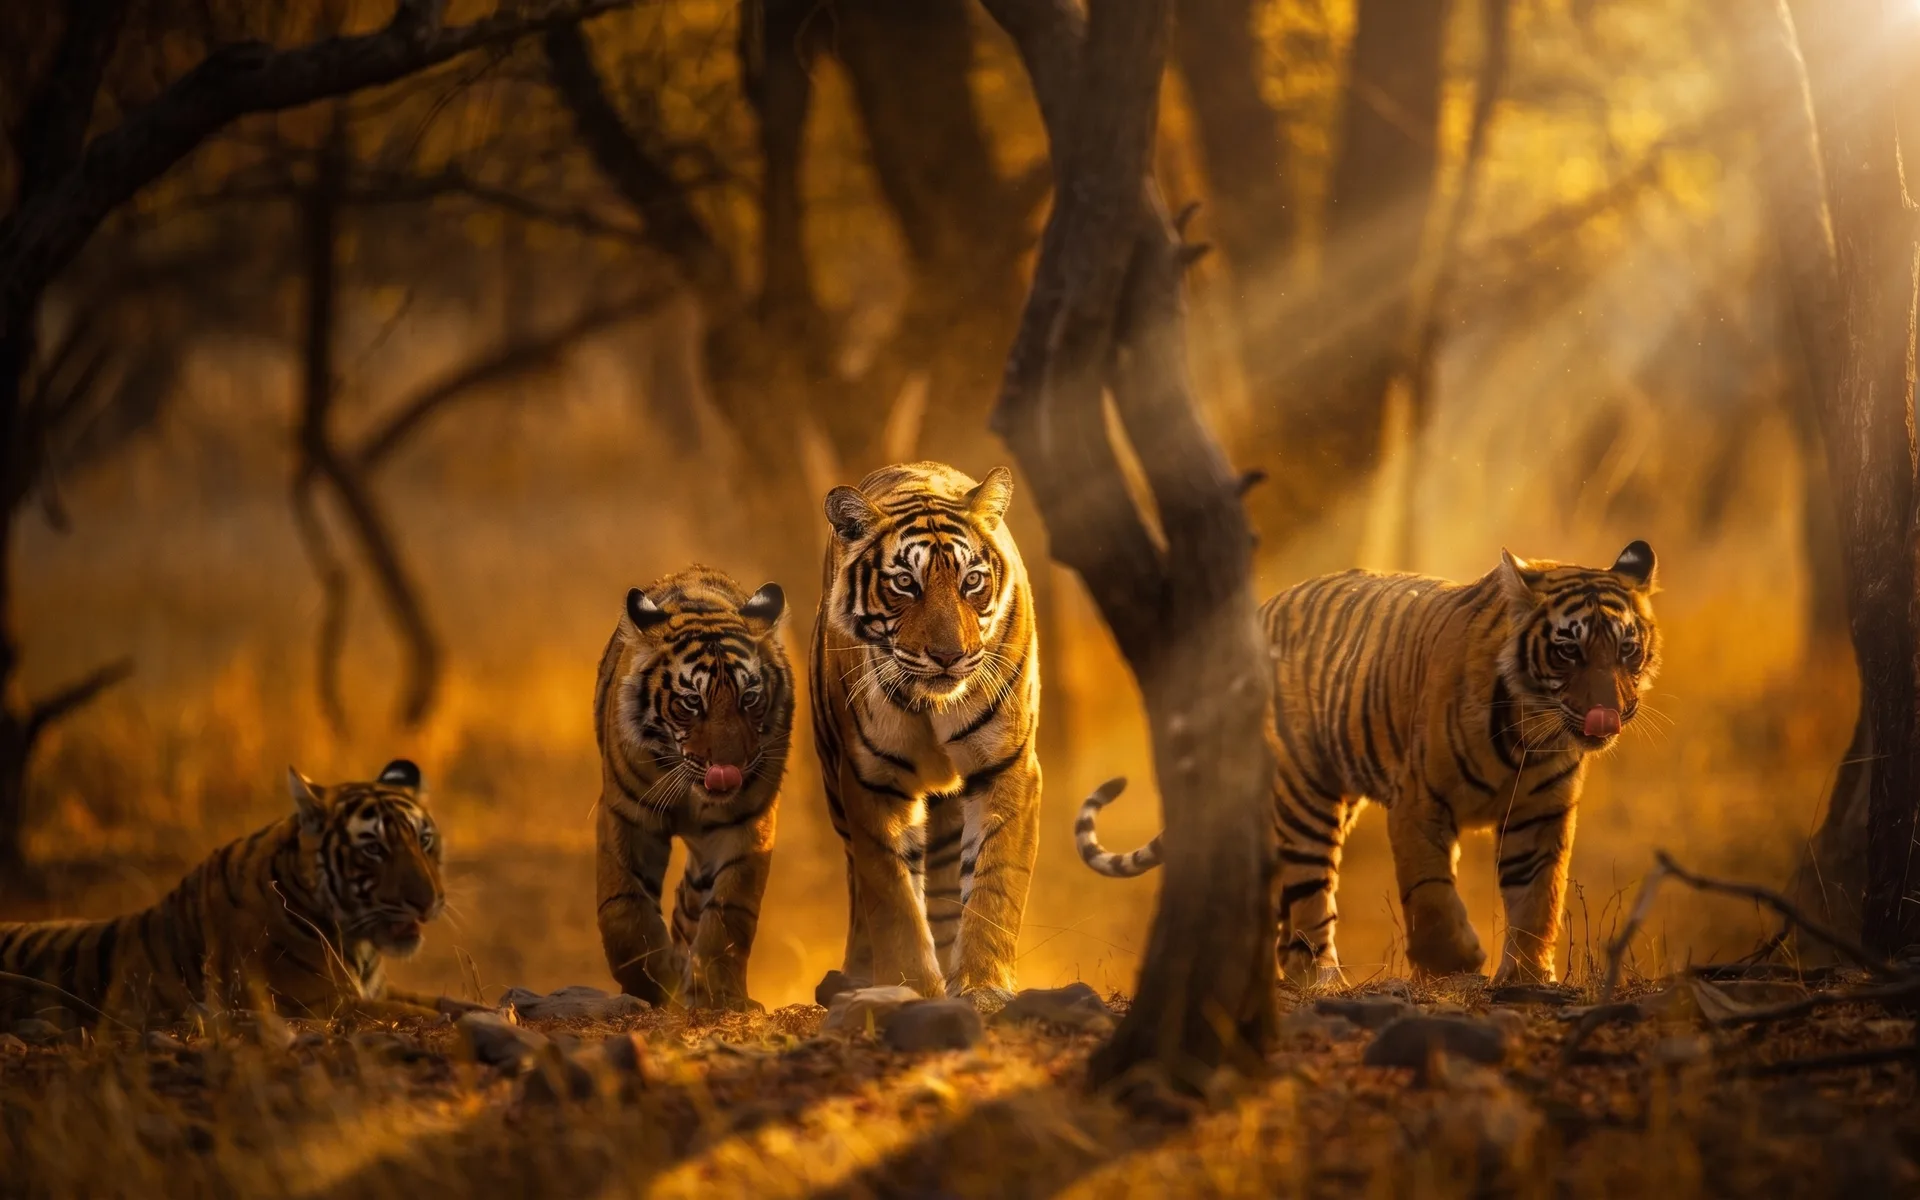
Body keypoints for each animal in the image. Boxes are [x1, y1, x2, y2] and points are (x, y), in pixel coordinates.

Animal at [0, 760, 462, 1028]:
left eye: (423, 840)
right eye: (374, 849)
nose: (428, 902)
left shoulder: (374, 991)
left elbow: (451, 1002)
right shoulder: (318, 1003)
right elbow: (423, 1014)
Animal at [593, 564, 793, 1011]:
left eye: (749, 698)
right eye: (691, 702)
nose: (729, 771)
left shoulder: (746, 824)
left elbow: (728, 911)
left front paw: (717, 994)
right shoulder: (626, 814)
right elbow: (624, 907)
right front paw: (650, 984)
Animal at [811, 461, 1042, 1005]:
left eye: (971, 581)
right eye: (904, 583)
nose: (949, 656)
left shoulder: (1008, 766)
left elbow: (994, 884)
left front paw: (982, 985)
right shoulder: (871, 780)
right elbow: (891, 894)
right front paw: (908, 985)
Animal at [1075, 541, 1661, 986]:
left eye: (1627, 649)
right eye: (1568, 651)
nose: (1607, 715)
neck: (1529, 732)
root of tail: (1262, 612)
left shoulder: (1540, 813)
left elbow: (1539, 895)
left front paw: (1527, 977)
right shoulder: (1419, 802)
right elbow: (1429, 891)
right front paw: (1454, 964)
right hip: (1304, 797)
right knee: (1310, 898)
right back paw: (1322, 981)